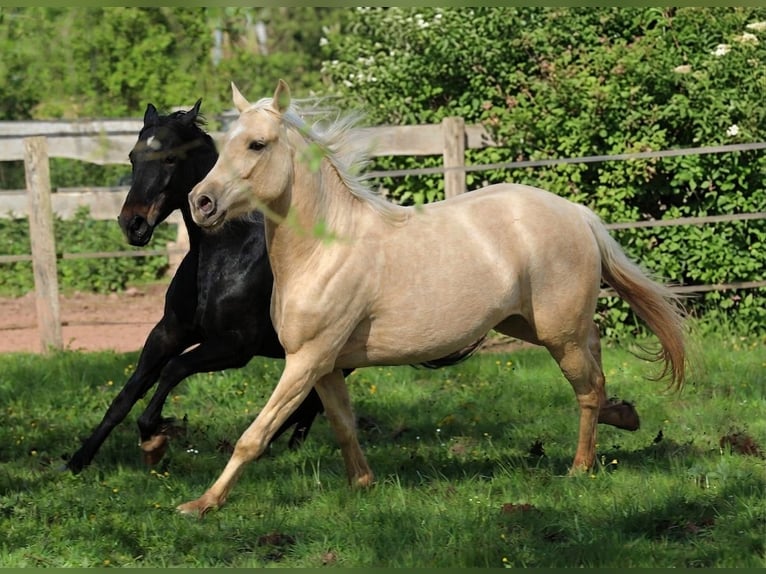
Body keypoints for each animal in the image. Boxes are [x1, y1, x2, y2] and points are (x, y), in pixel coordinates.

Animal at [179, 80, 686, 516]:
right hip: (532, 325)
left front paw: (201, 504)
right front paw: (363, 485)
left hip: (558, 333)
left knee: (587, 388)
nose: (200, 202)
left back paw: (580, 468)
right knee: (596, 363)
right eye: (225, 143)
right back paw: (624, 416)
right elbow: (343, 425)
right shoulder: (323, 365)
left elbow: (255, 434)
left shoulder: (306, 360)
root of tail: (579, 213)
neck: (326, 249)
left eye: (257, 145)